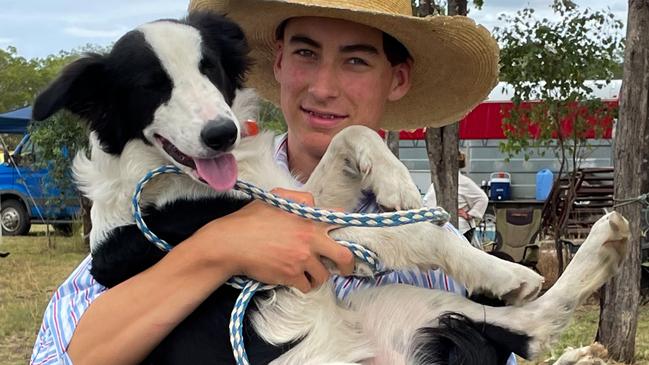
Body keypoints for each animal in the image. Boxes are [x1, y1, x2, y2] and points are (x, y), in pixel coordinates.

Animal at [33, 11, 632, 364]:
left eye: (211, 70)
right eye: (150, 87)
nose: (221, 132)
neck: (161, 171)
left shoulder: (300, 199)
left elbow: (351, 134)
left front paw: (391, 178)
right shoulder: (288, 232)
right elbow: (424, 235)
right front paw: (501, 271)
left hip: (399, 306)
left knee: (530, 328)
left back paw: (602, 252)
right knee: (532, 322)